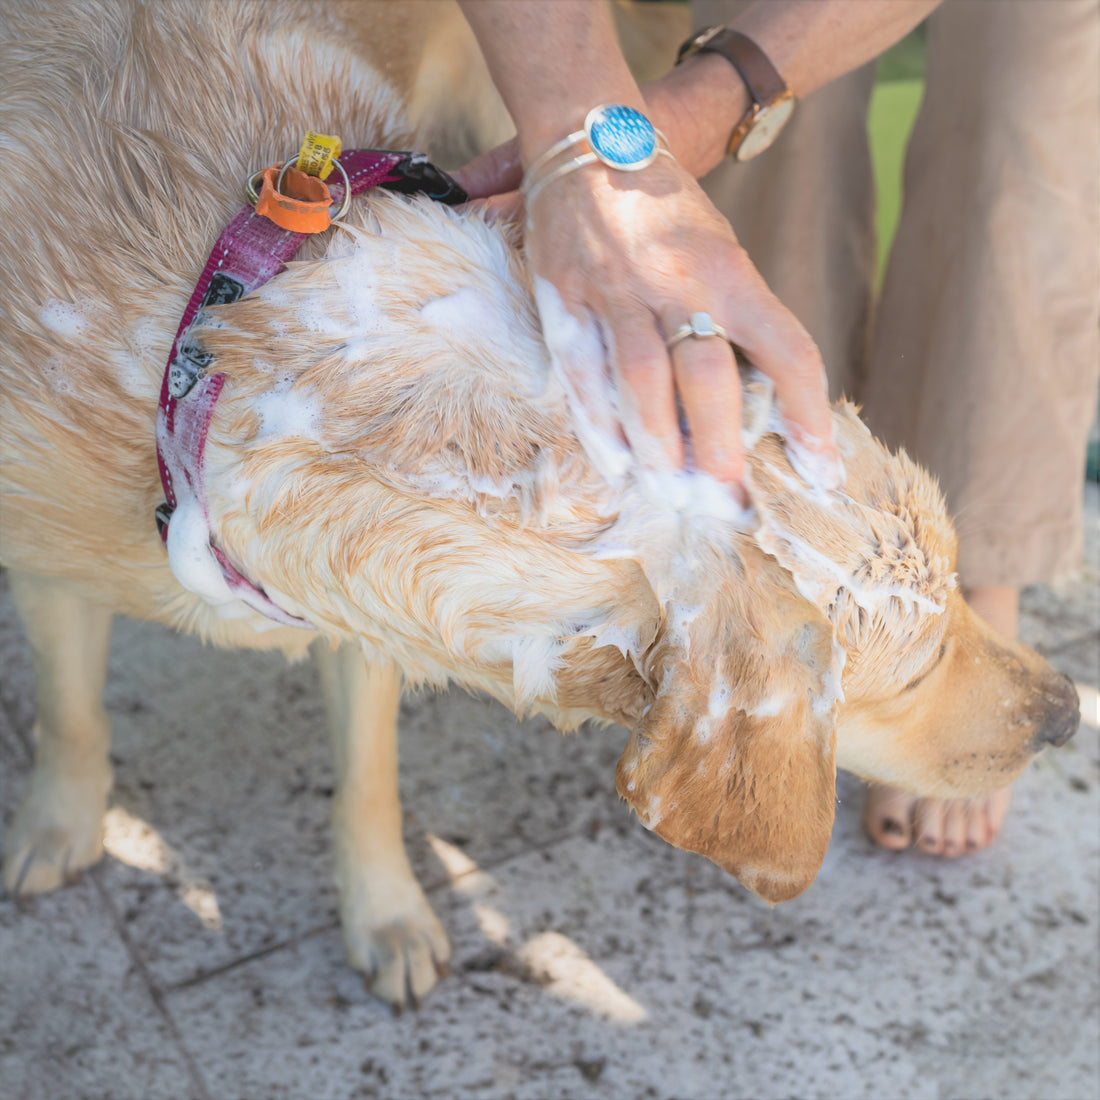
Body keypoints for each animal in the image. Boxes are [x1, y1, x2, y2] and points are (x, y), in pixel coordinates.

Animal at [0, 0, 1082, 1007]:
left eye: (958, 590)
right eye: (914, 670)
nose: (1069, 711)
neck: (224, 335)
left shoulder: (361, 618)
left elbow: (366, 782)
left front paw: (385, 914)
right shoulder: (48, 559)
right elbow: (69, 709)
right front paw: (60, 823)